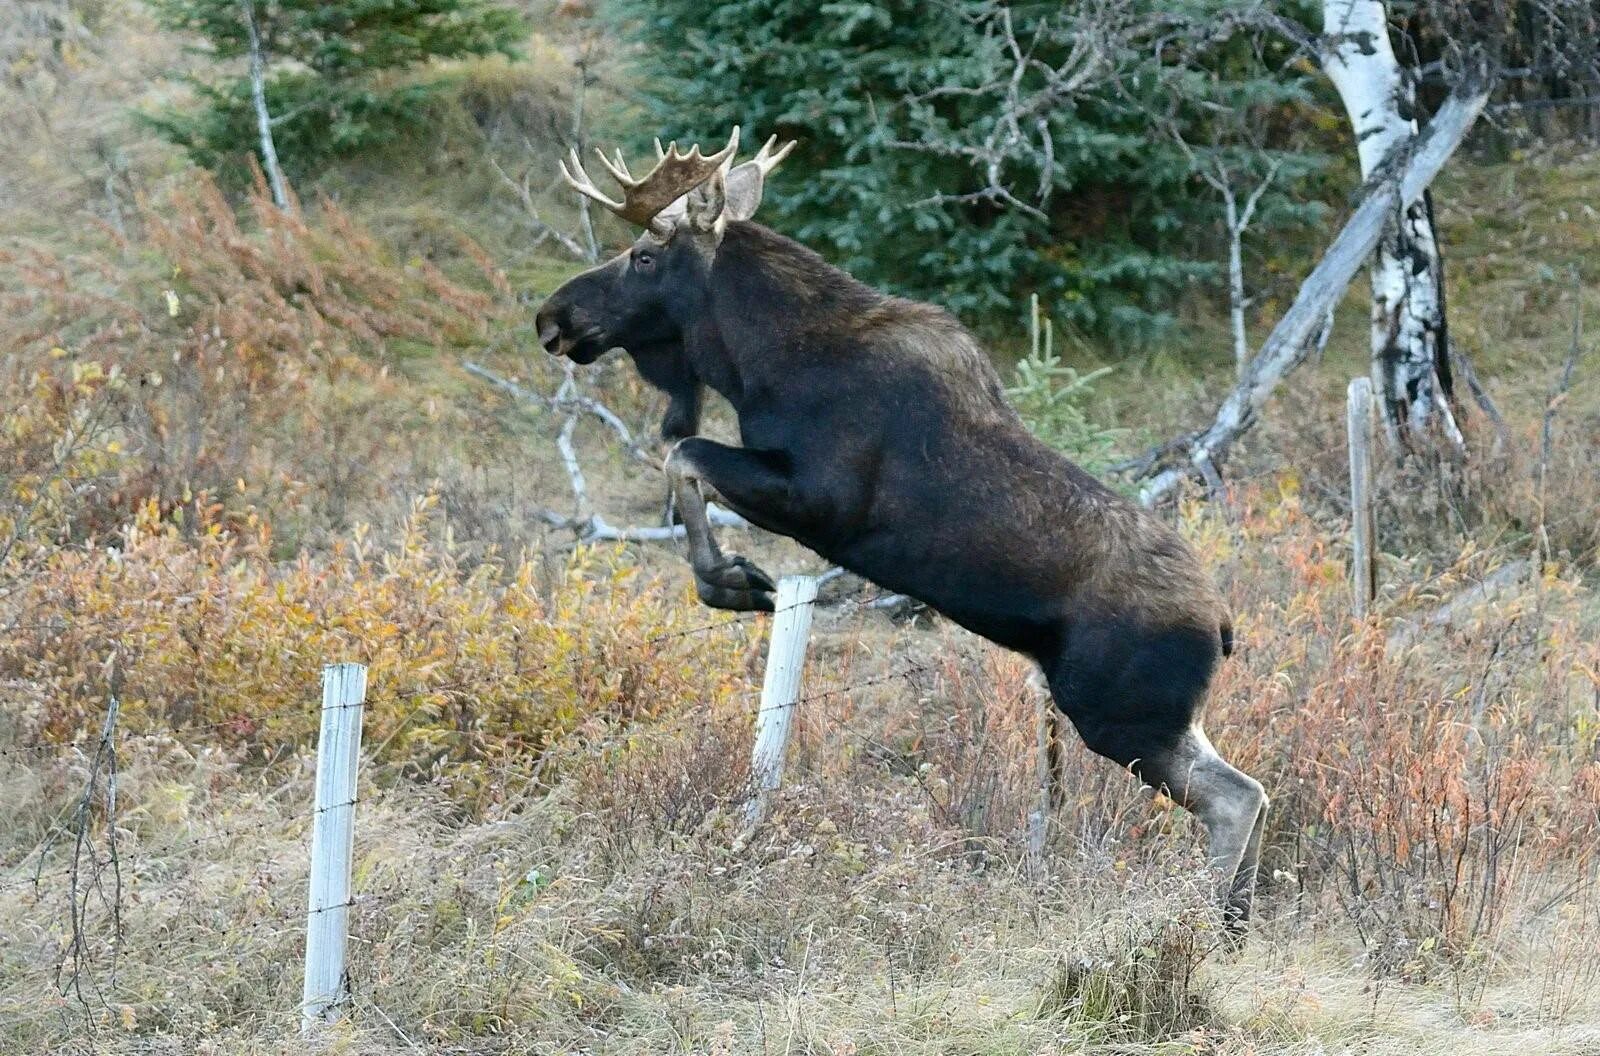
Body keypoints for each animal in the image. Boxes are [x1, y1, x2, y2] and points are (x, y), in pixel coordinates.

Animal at [537, 129, 1273, 921]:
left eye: (645, 254)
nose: (551, 316)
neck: (755, 359)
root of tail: (1223, 626)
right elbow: (685, 460)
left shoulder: (821, 501)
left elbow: (684, 456)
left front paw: (732, 581)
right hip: (1163, 716)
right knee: (1250, 792)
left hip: (1122, 712)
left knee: (1236, 798)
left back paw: (1205, 924)